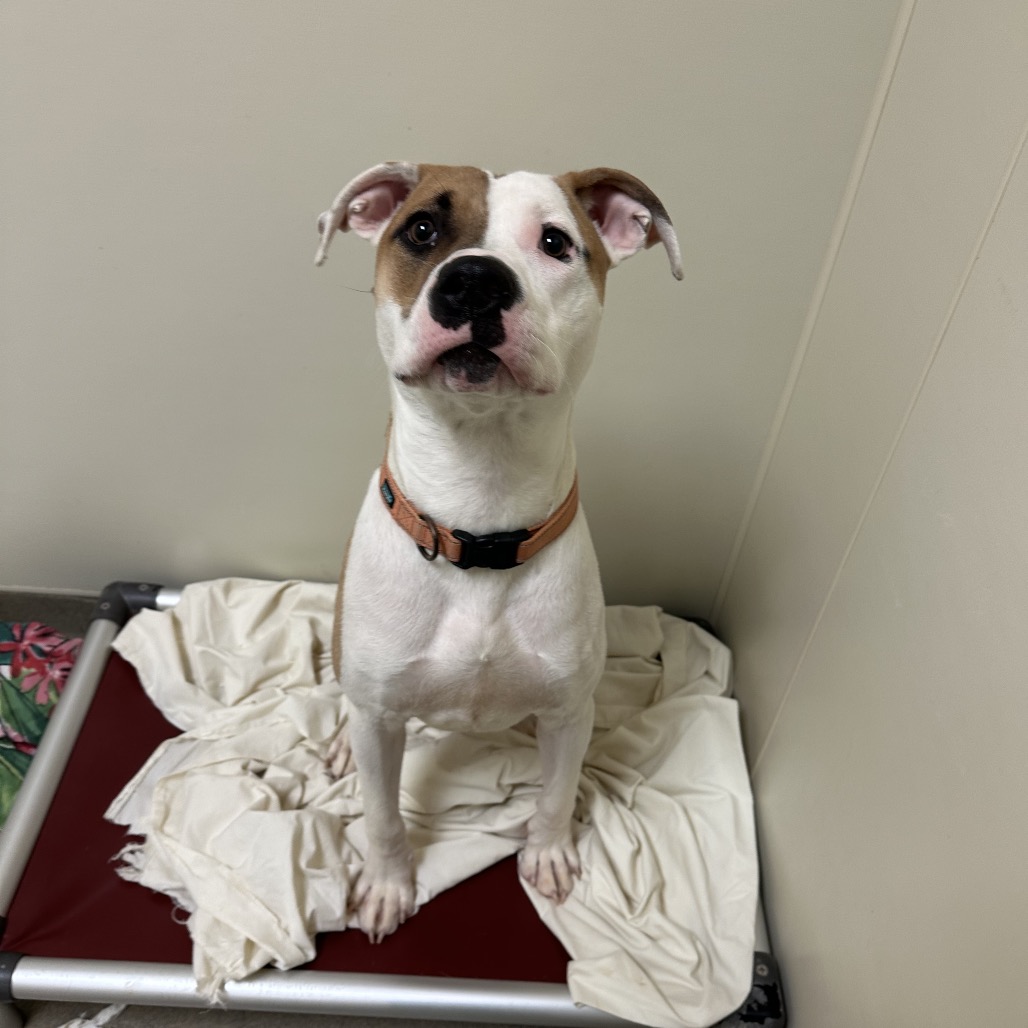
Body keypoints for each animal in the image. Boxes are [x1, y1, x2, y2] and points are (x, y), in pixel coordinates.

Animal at [315, 163, 681, 942]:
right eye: (421, 228)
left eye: (555, 242)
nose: (475, 281)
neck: (479, 515)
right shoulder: (381, 721)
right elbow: (383, 814)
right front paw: (388, 885)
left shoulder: (570, 713)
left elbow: (557, 793)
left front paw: (547, 853)